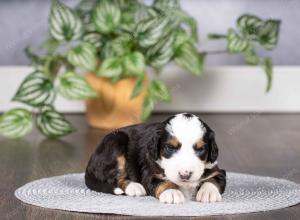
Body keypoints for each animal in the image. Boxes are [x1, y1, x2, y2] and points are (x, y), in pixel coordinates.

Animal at [84, 112, 225, 204]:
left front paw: (209, 193)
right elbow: (161, 182)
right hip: (116, 141)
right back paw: (134, 187)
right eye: (170, 148)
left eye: (200, 149)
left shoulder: (217, 169)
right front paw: (171, 192)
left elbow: (213, 179)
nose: (185, 174)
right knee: (115, 178)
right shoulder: (150, 172)